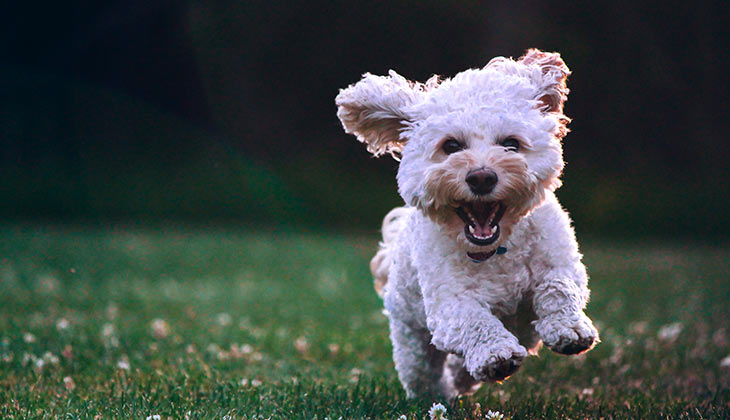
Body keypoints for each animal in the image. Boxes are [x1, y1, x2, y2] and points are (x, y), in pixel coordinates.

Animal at [336, 47, 596, 398]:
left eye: (511, 143)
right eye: (451, 146)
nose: (482, 177)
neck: (497, 250)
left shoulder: (561, 262)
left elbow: (559, 287)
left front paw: (569, 329)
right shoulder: (449, 304)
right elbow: (474, 320)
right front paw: (495, 353)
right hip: (411, 337)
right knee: (422, 372)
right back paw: (440, 393)